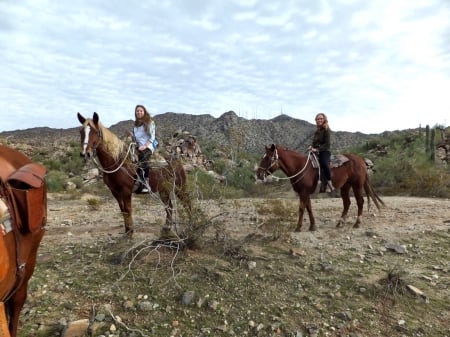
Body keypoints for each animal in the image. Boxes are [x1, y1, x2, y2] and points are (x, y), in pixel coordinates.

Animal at [256, 143, 384, 230]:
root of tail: (361, 160)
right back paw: (340, 223)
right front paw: (312, 226)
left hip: (357, 185)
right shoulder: (305, 192)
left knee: (360, 202)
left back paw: (357, 223)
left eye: (267, 158)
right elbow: (309, 208)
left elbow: (302, 208)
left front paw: (298, 227)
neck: (300, 166)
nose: (258, 174)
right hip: (345, 186)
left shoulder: (303, 192)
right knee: (347, 203)